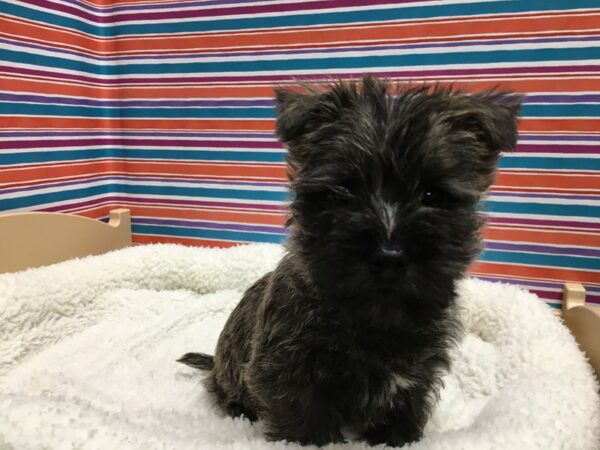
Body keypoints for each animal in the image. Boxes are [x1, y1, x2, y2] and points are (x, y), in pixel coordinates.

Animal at [178, 76, 520, 446]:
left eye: (432, 195)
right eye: (344, 191)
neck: (375, 318)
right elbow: (306, 425)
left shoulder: (417, 376)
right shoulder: (286, 374)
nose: (389, 257)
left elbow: (403, 413)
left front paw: (397, 438)